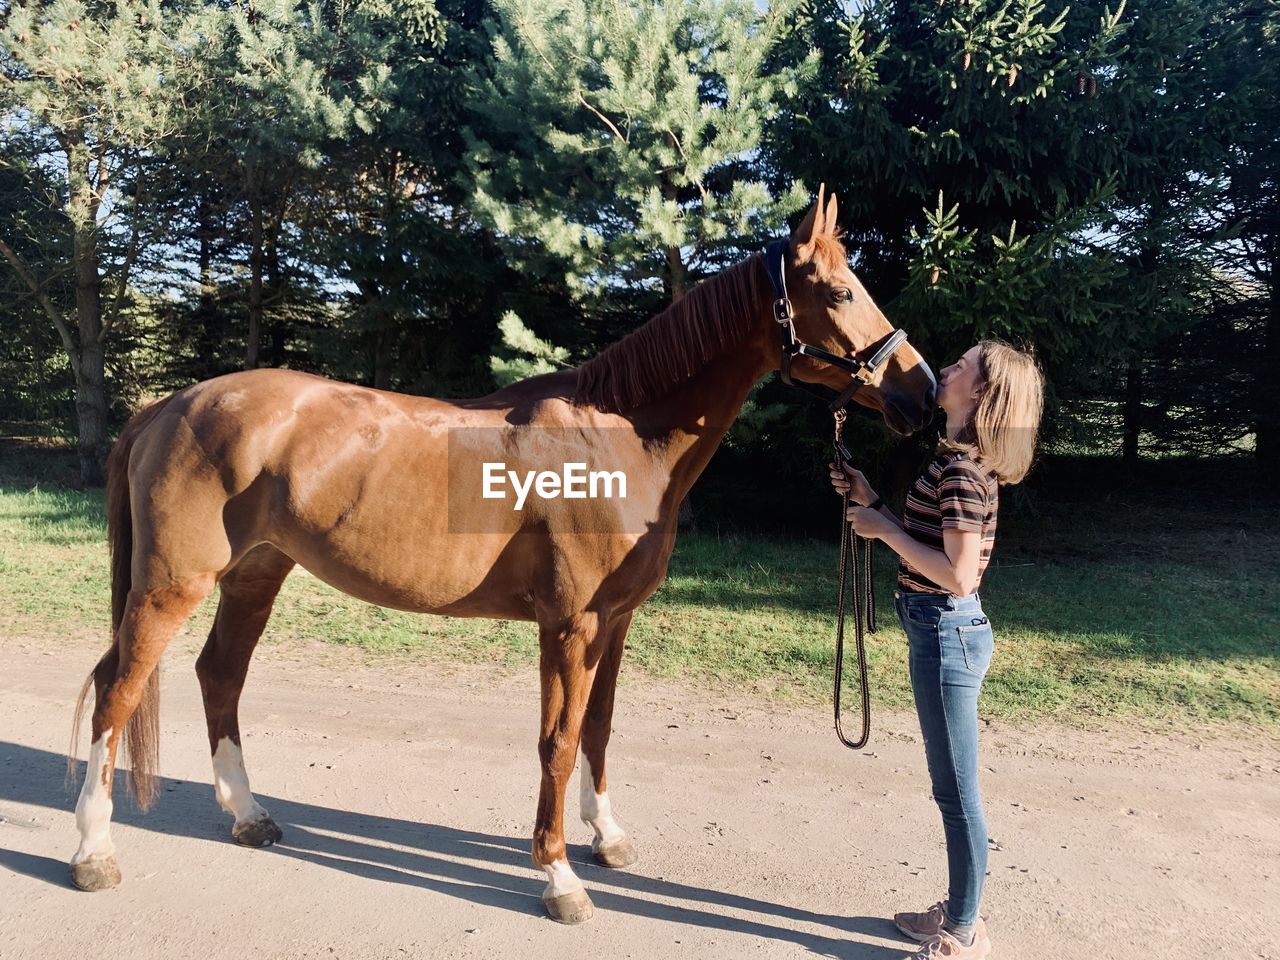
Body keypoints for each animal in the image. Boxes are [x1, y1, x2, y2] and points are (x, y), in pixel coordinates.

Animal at [67, 189, 931, 926]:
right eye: (840, 293)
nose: (920, 392)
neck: (618, 438)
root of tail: (170, 405)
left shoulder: (615, 623)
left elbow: (598, 729)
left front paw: (606, 838)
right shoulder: (571, 626)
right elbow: (558, 740)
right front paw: (558, 876)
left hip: (255, 574)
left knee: (220, 675)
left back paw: (247, 815)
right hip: (172, 584)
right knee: (118, 690)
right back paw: (94, 852)